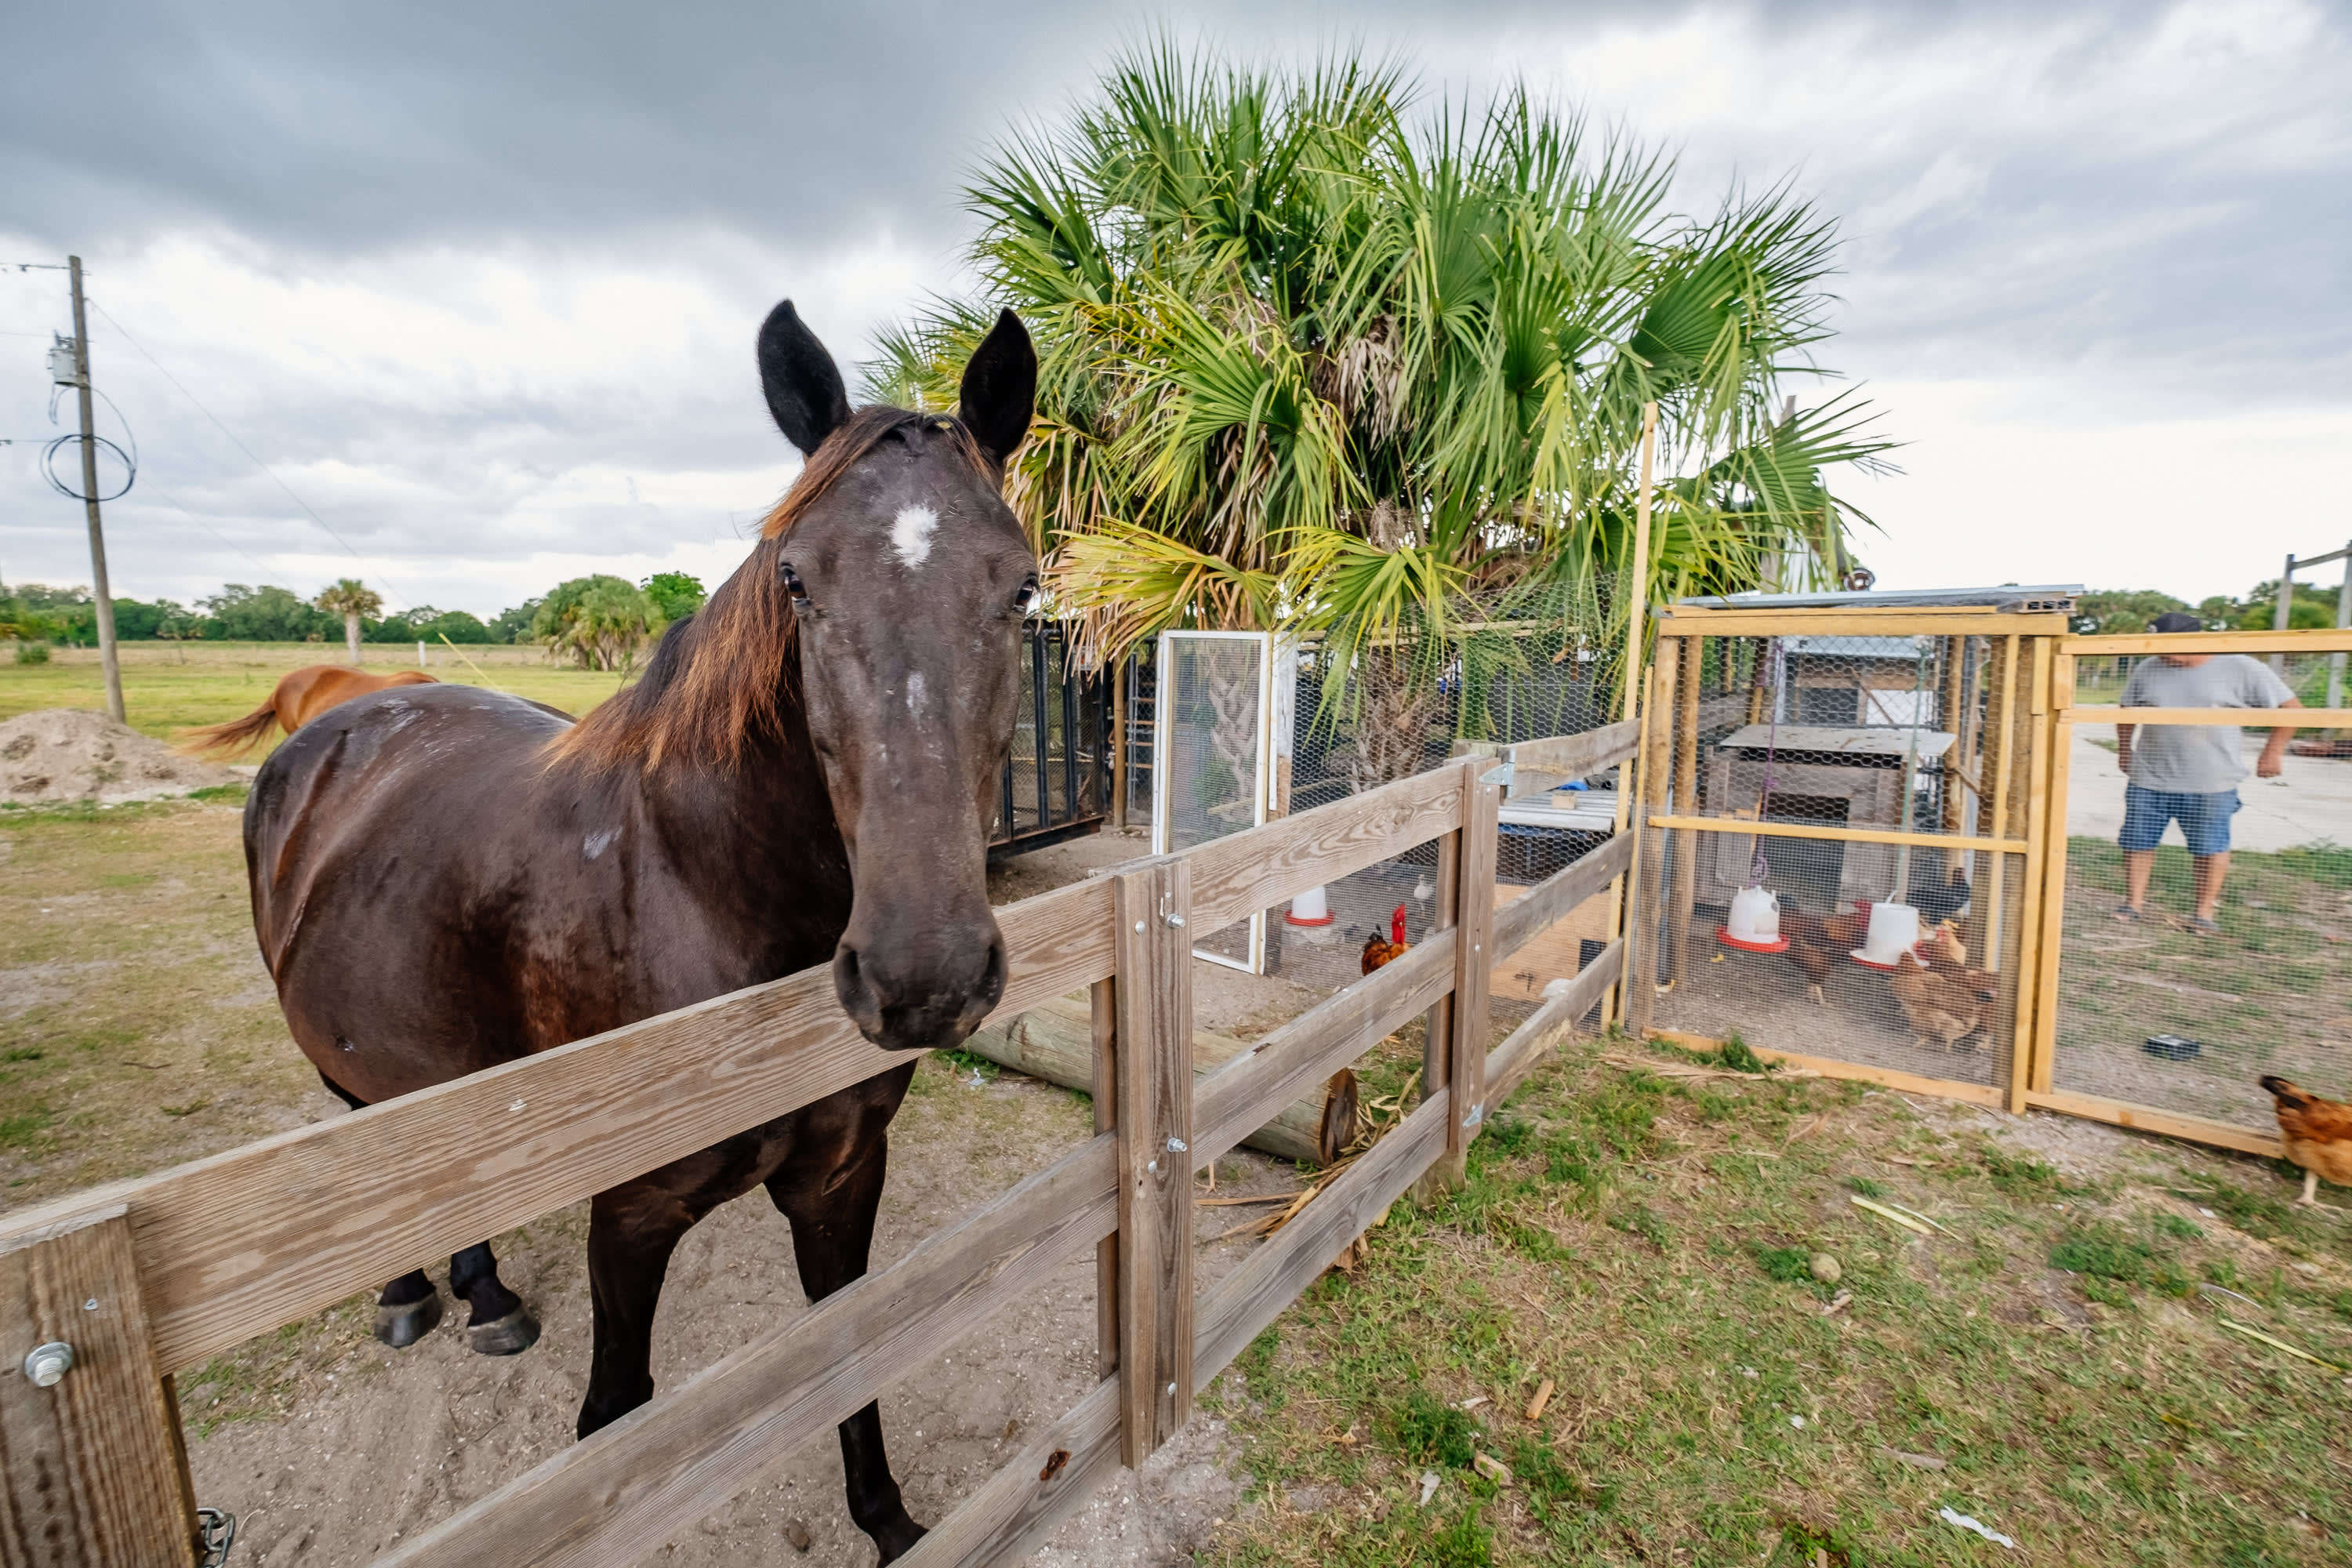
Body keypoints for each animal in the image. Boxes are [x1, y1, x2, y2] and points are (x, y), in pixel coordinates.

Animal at [240, 300, 1039, 1562]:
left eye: (1022, 589)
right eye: (796, 580)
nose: (925, 974)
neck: (705, 893)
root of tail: (332, 722)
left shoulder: (842, 1177)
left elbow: (853, 1352)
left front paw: (889, 1519)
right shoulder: (630, 1213)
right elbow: (614, 1418)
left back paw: (486, 1294)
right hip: (350, 1068)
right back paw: (412, 1292)